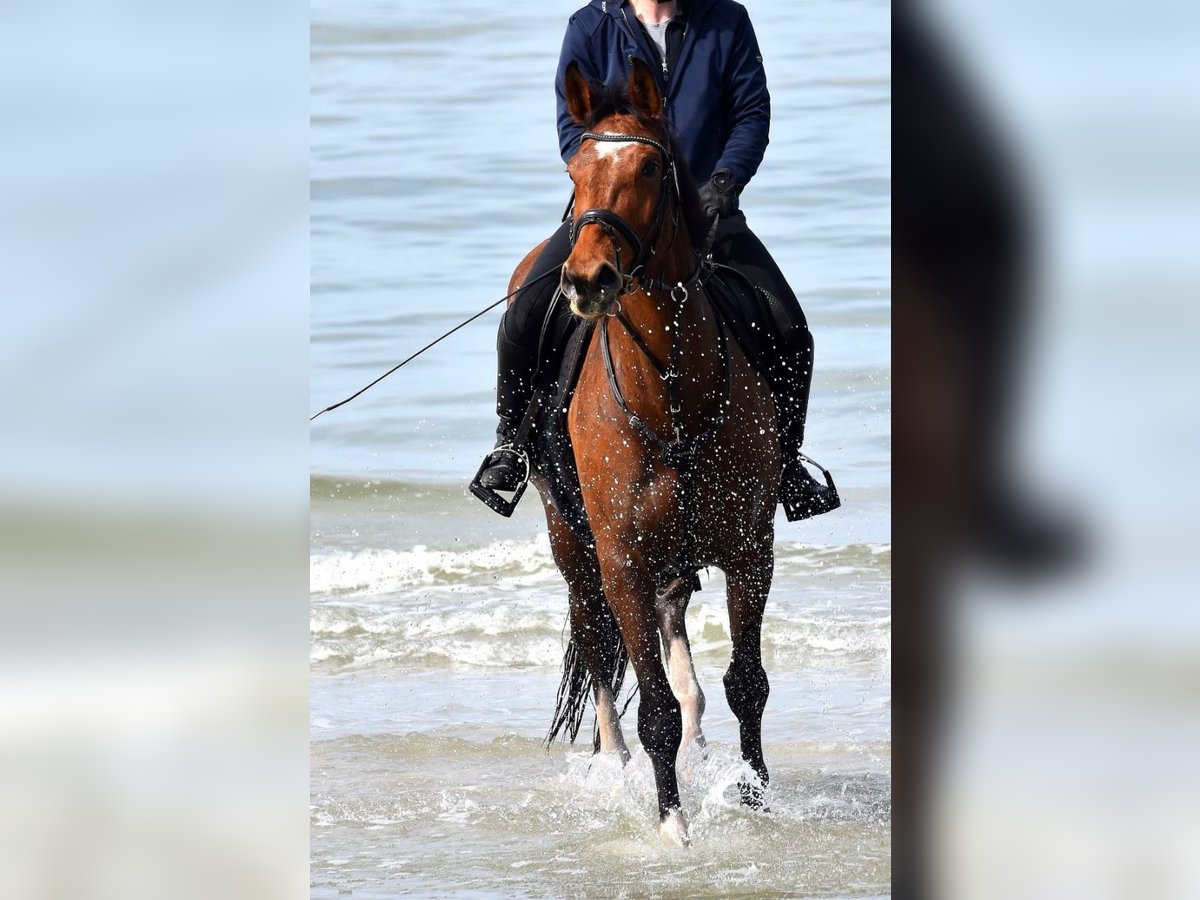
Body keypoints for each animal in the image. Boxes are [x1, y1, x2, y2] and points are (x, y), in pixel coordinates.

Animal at [506, 60, 777, 849]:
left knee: (674, 631)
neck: (671, 391)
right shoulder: (620, 557)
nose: (587, 280)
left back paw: (698, 742)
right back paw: (616, 767)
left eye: (653, 167)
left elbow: (747, 681)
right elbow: (648, 700)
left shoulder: (751, 548)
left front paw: (754, 797)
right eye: (574, 167)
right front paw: (672, 824)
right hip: (572, 541)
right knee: (597, 644)